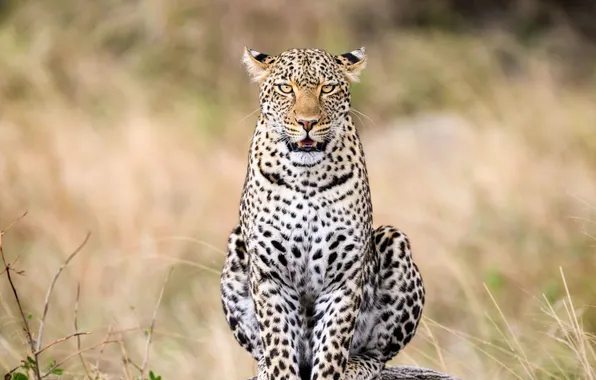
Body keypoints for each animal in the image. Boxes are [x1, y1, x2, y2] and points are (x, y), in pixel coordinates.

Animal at [220, 46, 424, 380]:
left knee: (378, 355)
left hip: (393, 240)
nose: (307, 122)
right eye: (285, 88)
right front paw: (277, 371)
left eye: (326, 88)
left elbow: (332, 347)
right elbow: (278, 344)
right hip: (237, 246)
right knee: (263, 352)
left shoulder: (344, 276)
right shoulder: (269, 275)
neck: (307, 178)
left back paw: (357, 367)